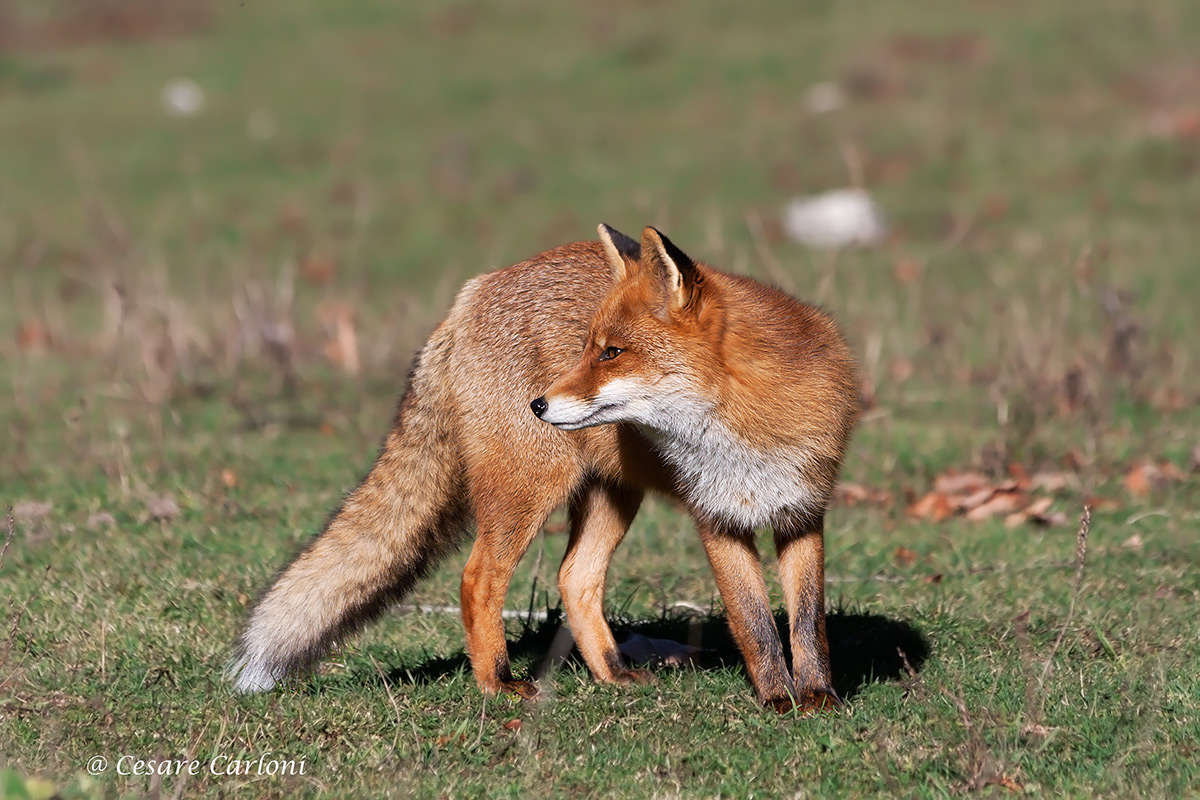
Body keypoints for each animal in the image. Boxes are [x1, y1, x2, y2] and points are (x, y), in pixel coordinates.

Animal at [228, 224, 859, 714]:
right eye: (586, 347)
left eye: (611, 353)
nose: (538, 404)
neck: (749, 427)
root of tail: (472, 293)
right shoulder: (718, 521)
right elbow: (755, 625)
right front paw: (777, 700)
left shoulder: (802, 512)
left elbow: (807, 624)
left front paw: (818, 697)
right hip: (527, 490)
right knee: (479, 578)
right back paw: (498, 684)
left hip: (611, 494)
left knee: (574, 578)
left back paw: (611, 673)